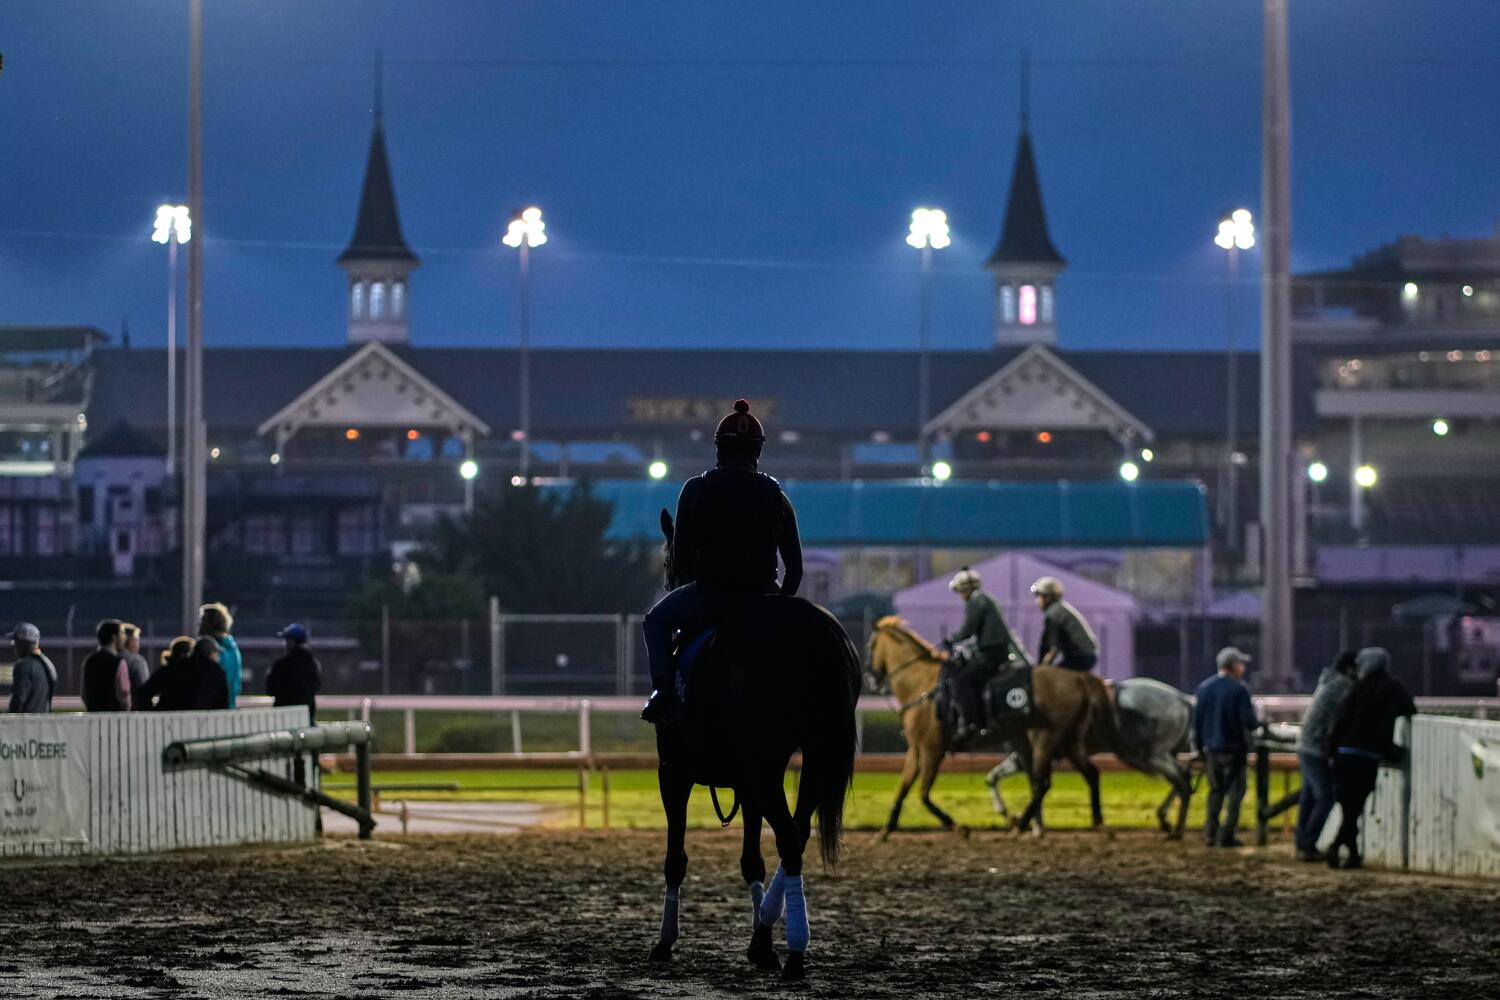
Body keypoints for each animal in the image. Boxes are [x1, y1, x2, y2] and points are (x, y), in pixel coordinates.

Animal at [647, 510, 861, 981]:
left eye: (670, 564)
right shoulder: (746, 782)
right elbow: (751, 860)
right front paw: (759, 940)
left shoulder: (674, 772)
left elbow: (676, 858)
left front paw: (665, 941)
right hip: (812, 755)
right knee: (797, 834)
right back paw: (769, 935)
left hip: (765, 766)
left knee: (789, 838)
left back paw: (794, 949)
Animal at [866, 616, 1198, 838]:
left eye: (870, 645)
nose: (870, 677)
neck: (923, 685)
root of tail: (1183, 699)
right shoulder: (918, 749)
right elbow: (906, 786)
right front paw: (887, 828)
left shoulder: (934, 748)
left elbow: (924, 792)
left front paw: (961, 825)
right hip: (1082, 745)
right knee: (1109, 775)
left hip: (1122, 749)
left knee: (1180, 779)